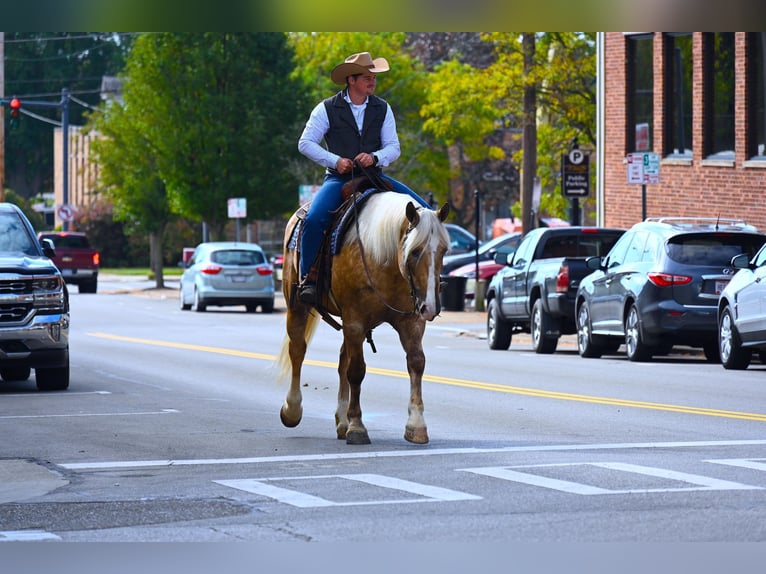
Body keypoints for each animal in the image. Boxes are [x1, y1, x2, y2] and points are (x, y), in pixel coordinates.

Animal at [280, 191, 450, 448]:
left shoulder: (411, 323)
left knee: (342, 360)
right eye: (414, 251)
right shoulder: (355, 321)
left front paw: (416, 426)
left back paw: (342, 421)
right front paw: (357, 427)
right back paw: (292, 410)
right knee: (298, 351)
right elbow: (357, 370)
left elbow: (416, 363)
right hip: (297, 306)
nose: (430, 307)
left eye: (443, 251)